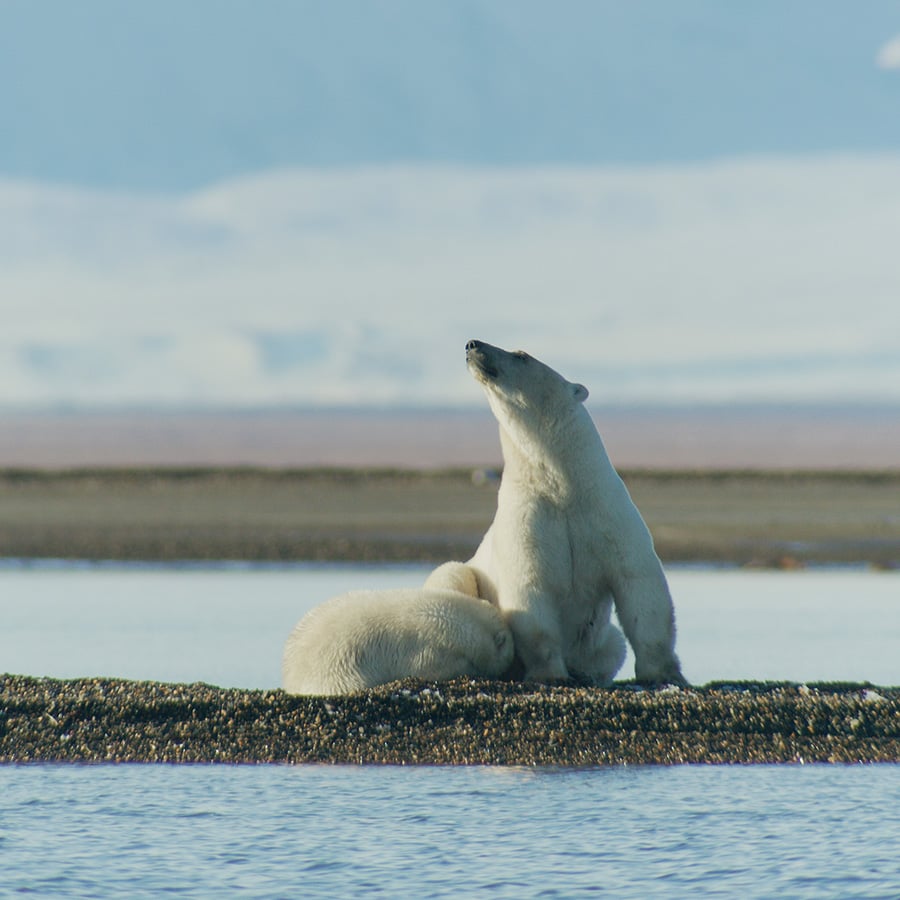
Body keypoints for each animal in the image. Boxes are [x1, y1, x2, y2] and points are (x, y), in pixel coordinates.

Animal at [464, 338, 684, 684]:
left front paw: (664, 673)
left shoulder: (609, 513)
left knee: (613, 645)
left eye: (521, 355)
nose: (473, 344)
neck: (565, 489)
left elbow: (638, 582)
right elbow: (530, 590)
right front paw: (550, 674)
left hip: (601, 645)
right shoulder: (528, 519)